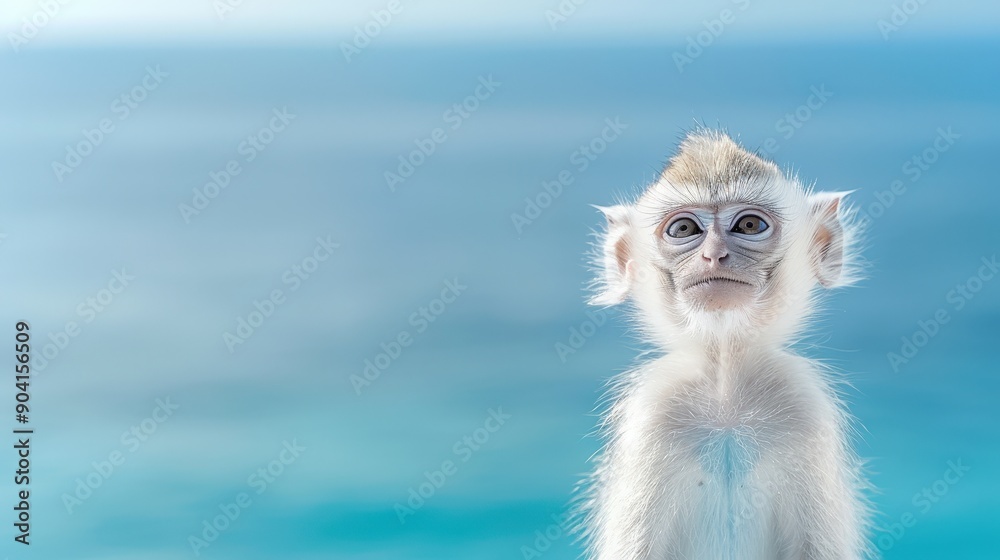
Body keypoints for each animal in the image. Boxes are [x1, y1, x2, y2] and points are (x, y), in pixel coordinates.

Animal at [579, 130, 872, 560]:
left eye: (749, 224)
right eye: (684, 230)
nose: (714, 256)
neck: (725, 389)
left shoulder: (804, 408)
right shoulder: (652, 415)